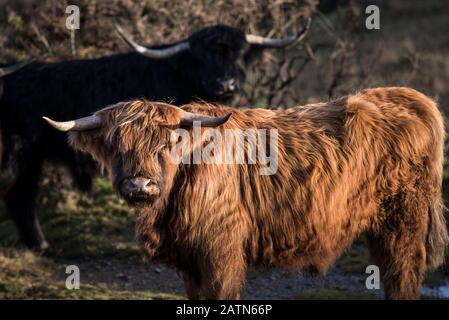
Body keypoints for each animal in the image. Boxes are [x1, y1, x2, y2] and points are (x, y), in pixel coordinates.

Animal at [43, 87, 446, 300]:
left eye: (167, 143)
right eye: (115, 144)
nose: (140, 185)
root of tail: (409, 96)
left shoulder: (221, 251)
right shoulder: (190, 262)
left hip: (403, 221)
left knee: (403, 273)